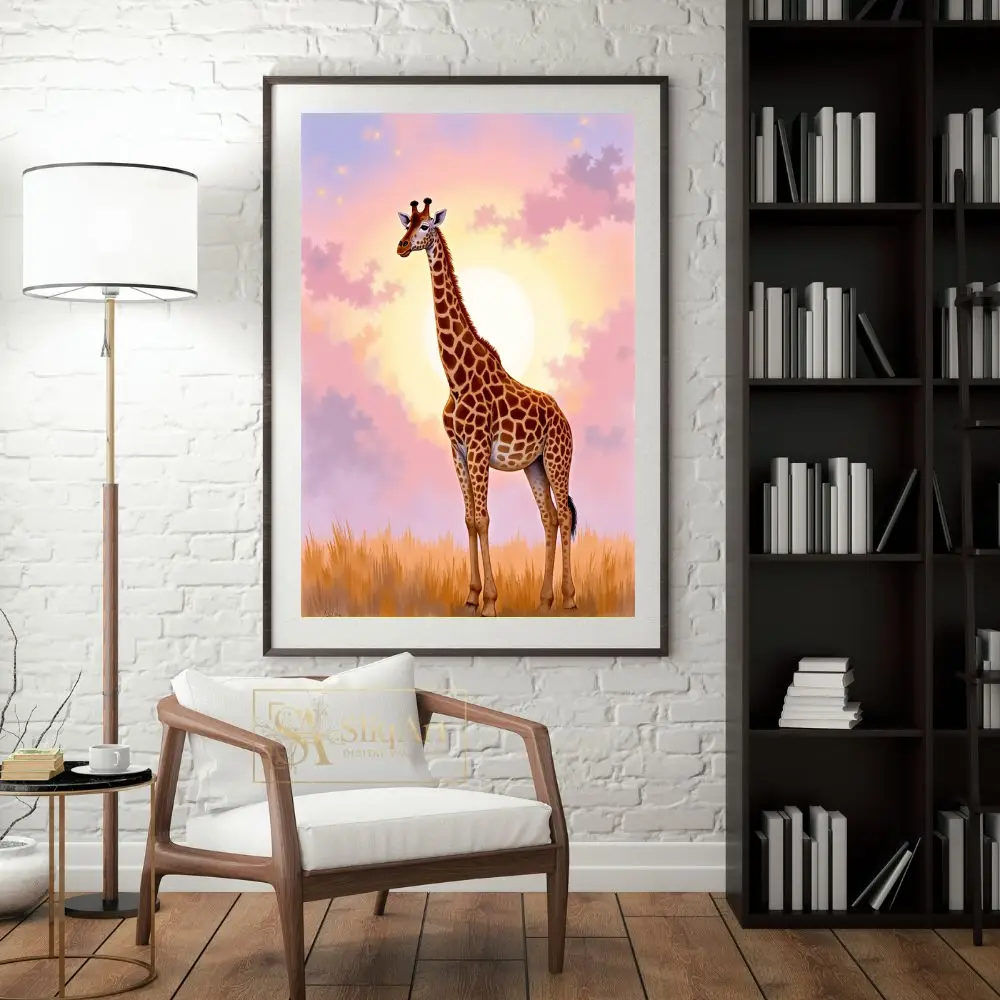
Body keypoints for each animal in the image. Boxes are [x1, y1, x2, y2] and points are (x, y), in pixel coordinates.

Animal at [396, 197, 578, 618]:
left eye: (426, 225)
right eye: (407, 222)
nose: (401, 246)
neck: (456, 377)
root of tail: (564, 418)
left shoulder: (479, 448)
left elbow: (483, 519)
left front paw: (491, 602)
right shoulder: (458, 450)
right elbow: (467, 519)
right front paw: (471, 596)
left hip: (558, 459)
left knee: (563, 514)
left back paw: (569, 597)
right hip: (534, 465)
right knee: (549, 518)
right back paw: (544, 600)